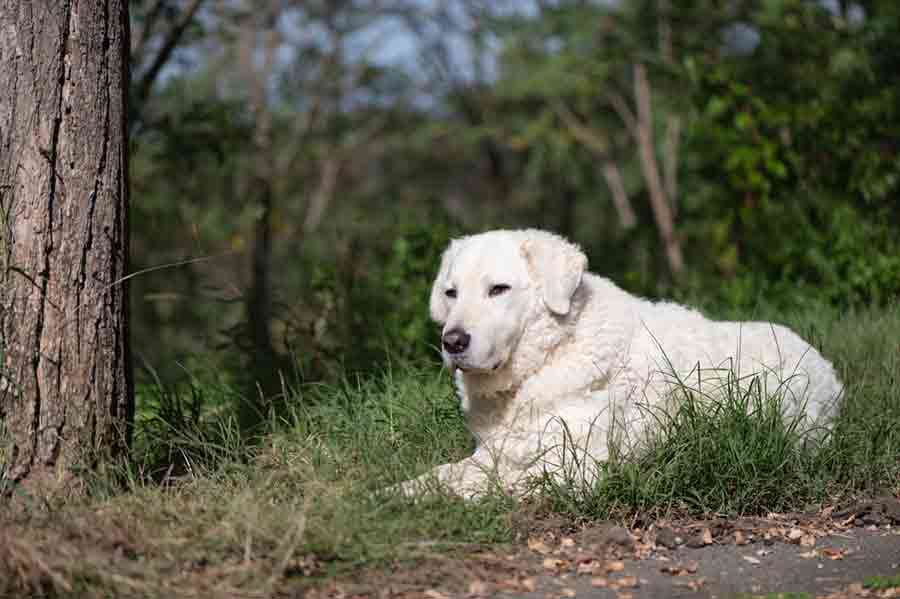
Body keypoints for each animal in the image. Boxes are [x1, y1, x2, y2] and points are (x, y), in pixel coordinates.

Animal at [400, 229, 844, 496]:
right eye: (452, 293)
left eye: (498, 289)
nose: (452, 341)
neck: (551, 355)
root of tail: (826, 365)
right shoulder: (495, 453)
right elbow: (440, 475)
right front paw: (395, 495)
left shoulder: (574, 469)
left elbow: (485, 487)